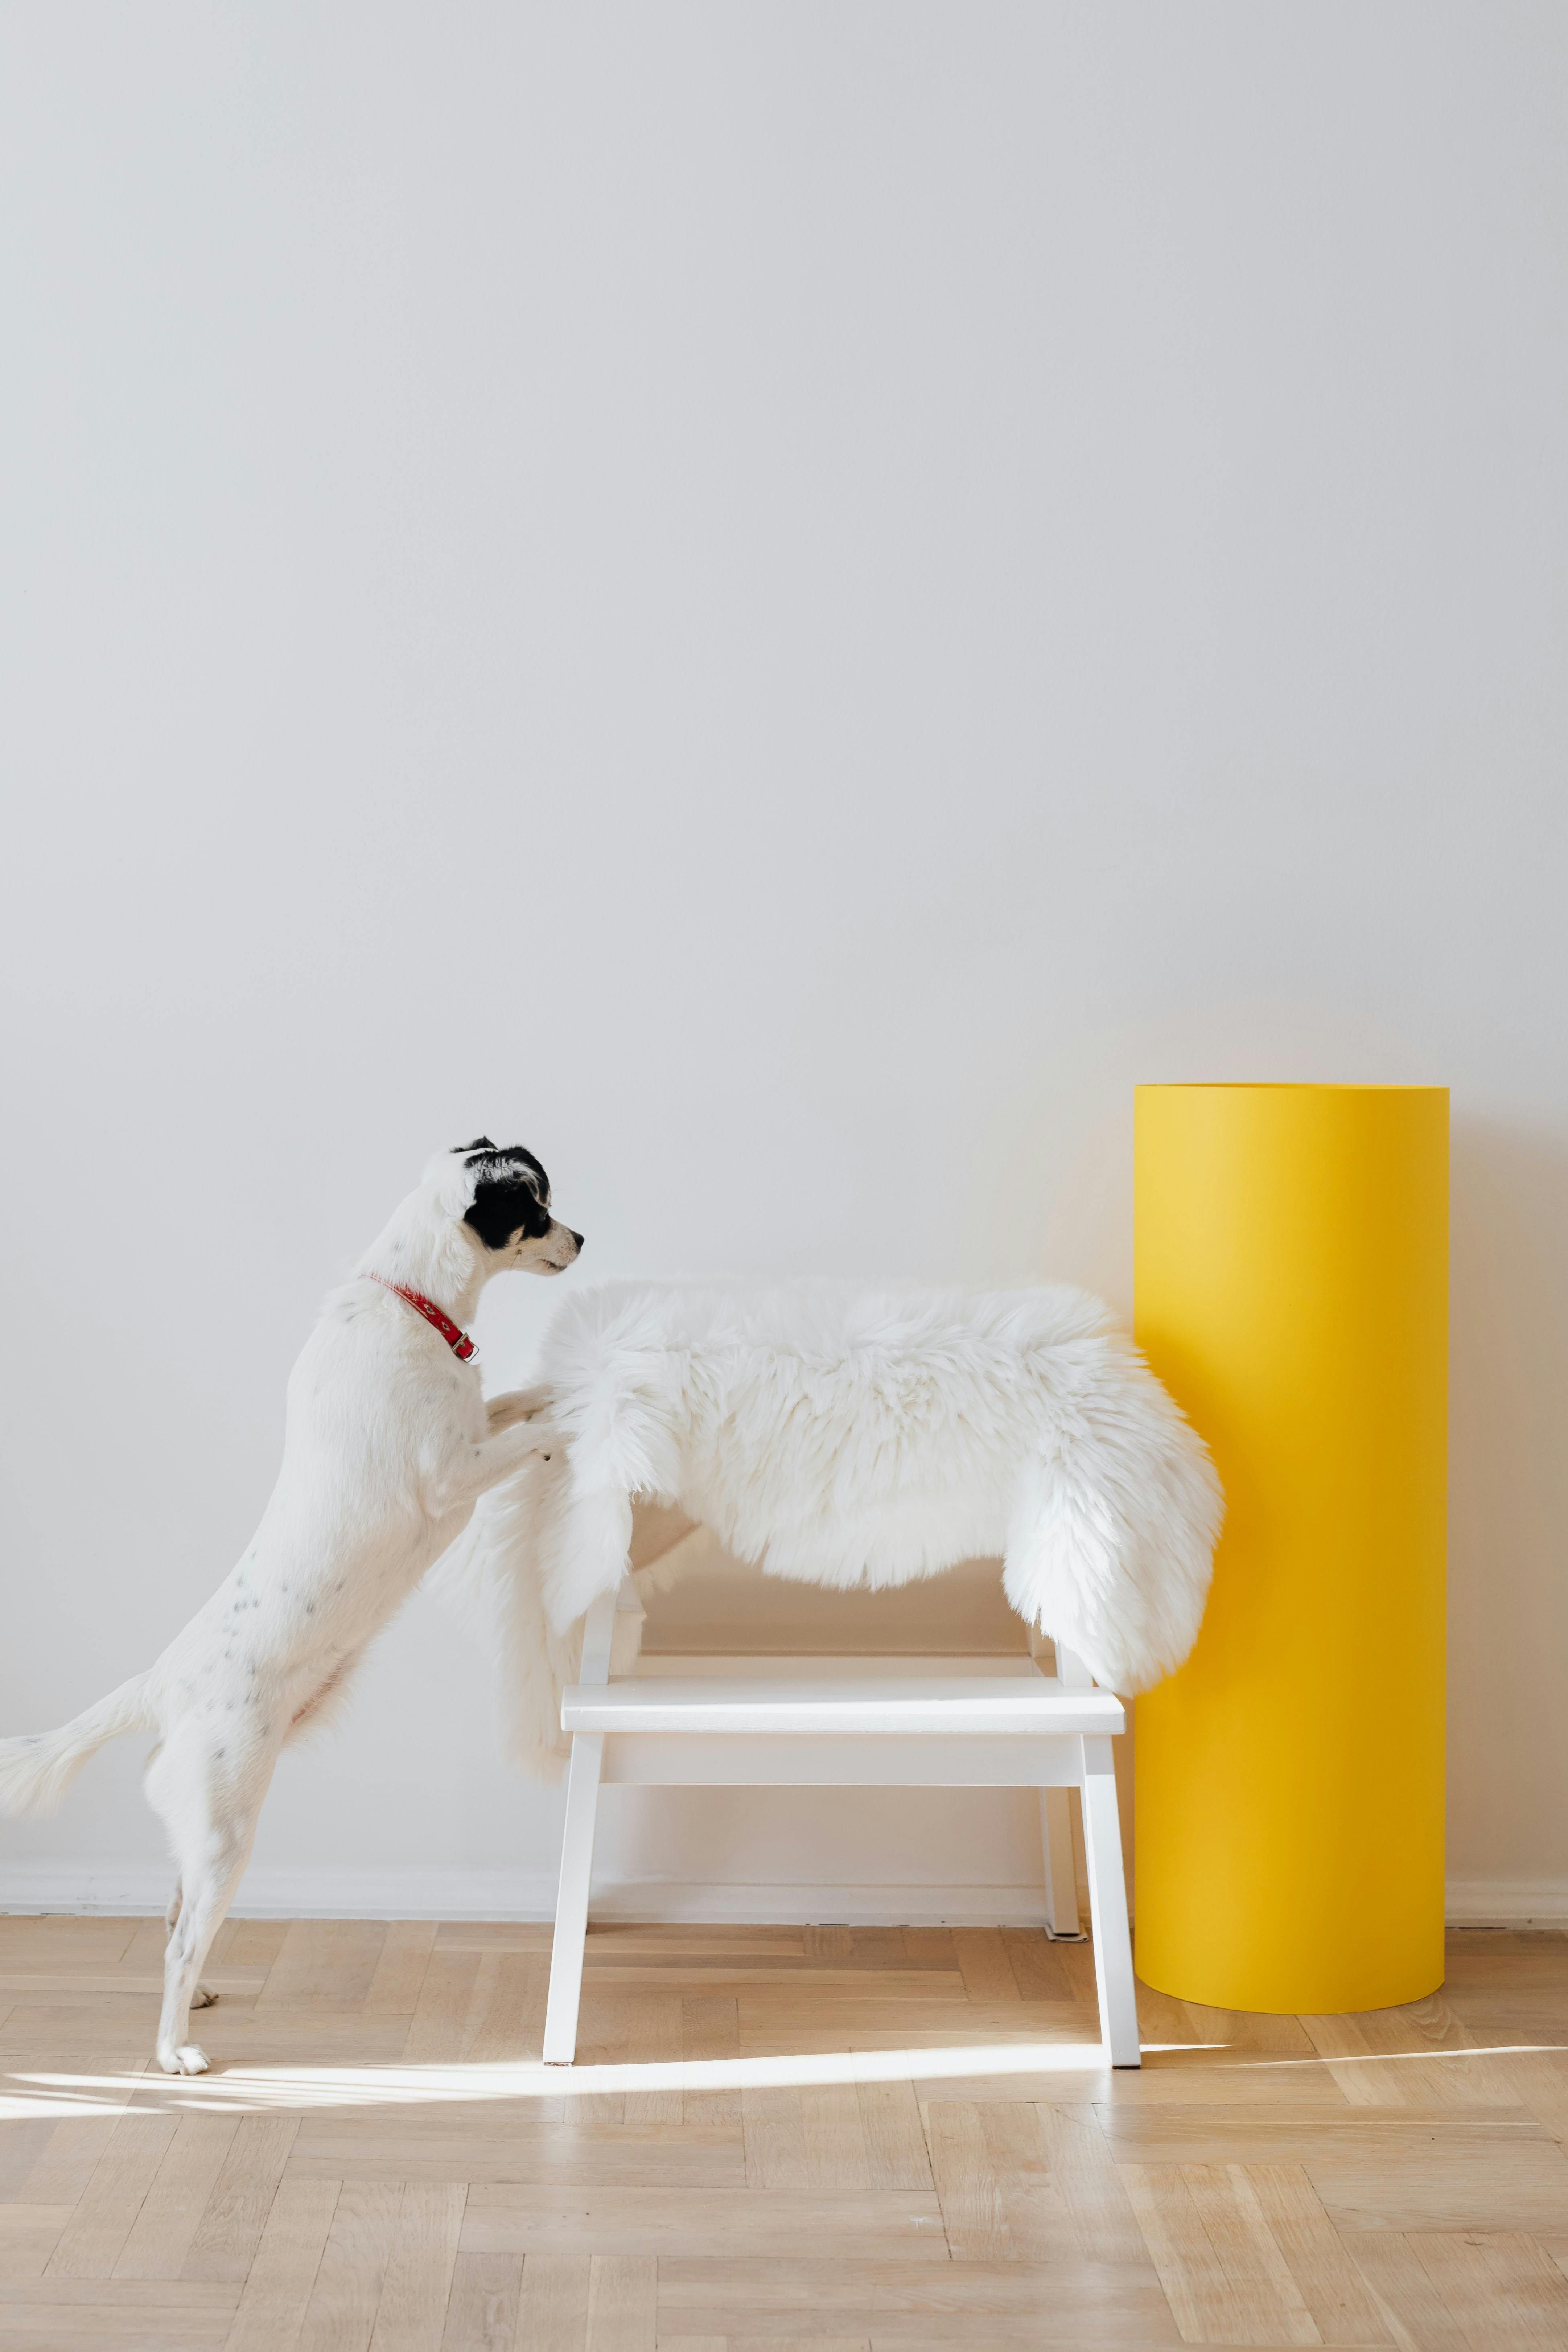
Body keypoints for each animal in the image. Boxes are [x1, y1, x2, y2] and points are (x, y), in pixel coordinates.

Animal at [0, 1138, 583, 2079]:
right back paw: (174, 2050)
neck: (412, 1304)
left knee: (175, 1915)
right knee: (178, 1941)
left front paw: (563, 1386)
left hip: (201, 1833)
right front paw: (579, 1418)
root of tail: (163, 1682)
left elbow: (518, 1398)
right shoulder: (450, 1475)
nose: (583, 1239)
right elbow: (537, 1431)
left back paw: (199, 1997)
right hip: (227, 1829)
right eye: (534, 1204)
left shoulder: (475, 1424)